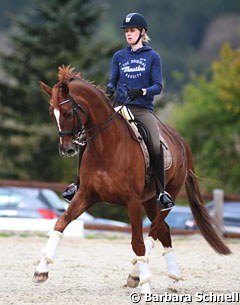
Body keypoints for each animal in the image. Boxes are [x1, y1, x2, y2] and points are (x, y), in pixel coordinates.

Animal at [33, 65, 231, 294]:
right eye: (51, 114)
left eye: (67, 113)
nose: (67, 149)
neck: (106, 146)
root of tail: (180, 140)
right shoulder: (86, 195)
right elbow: (60, 224)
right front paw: (41, 271)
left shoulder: (132, 201)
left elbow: (138, 242)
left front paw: (145, 287)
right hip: (149, 200)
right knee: (164, 230)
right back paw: (171, 277)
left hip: (167, 197)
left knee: (154, 231)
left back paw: (140, 275)